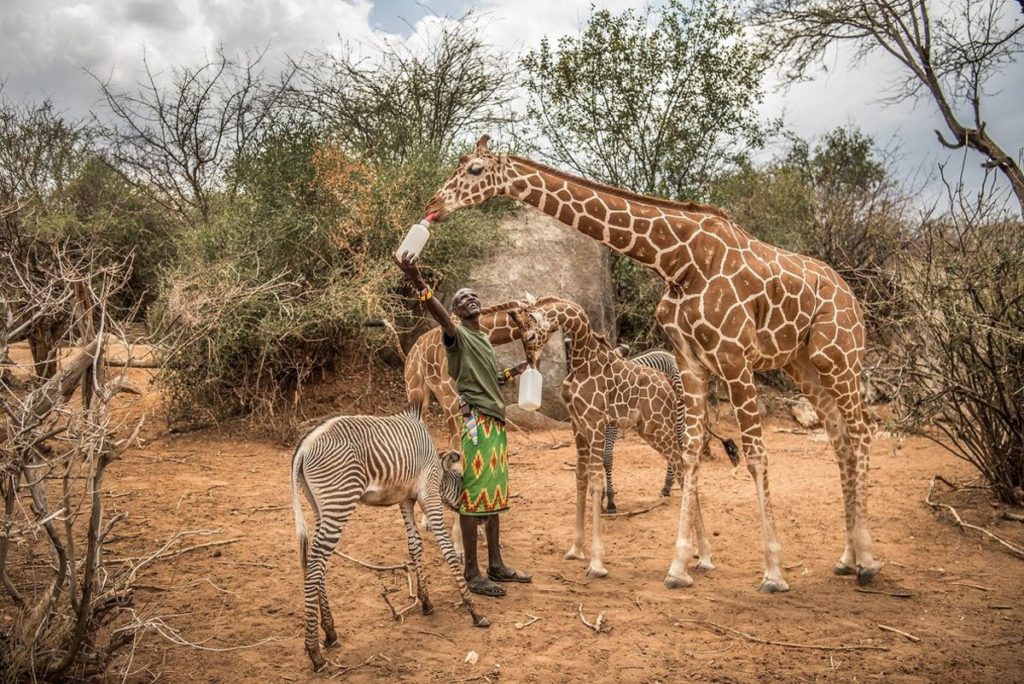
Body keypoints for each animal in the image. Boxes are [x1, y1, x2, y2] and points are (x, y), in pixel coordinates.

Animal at [290, 403, 489, 671]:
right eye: (461, 480)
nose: (483, 519)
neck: (436, 468)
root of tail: (305, 444)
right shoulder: (430, 496)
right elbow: (446, 549)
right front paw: (474, 611)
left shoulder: (406, 500)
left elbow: (414, 546)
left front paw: (426, 602)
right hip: (339, 502)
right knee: (315, 564)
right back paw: (315, 653)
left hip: (320, 506)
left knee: (317, 563)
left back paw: (330, 633)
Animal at [602, 348, 741, 511]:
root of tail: (670, 355)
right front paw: (601, 496)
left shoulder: (611, 426)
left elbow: (607, 459)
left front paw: (610, 501)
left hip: (678, 412)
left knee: (679, 446)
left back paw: (670, 486)